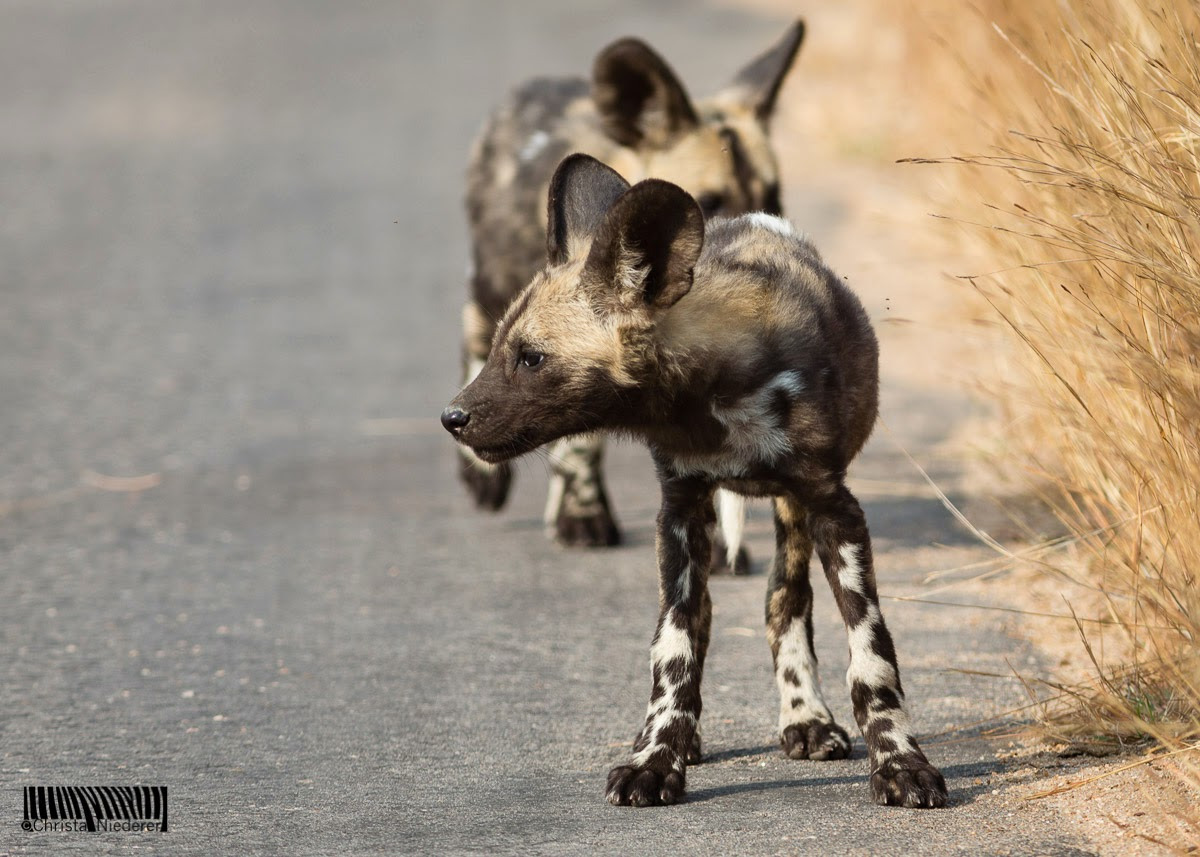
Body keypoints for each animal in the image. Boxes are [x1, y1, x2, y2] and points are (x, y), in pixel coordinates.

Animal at [441, 154, 945, 806]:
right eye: (503, 346)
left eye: (530, 358)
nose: (451, 417)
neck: (709, 398)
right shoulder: (678, 514)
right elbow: (674, 649)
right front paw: (656, 759)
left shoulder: (836, 509)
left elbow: (872, 656)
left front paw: (902, 764)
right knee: (701, 619)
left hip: (792, 512)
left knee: (784, 602)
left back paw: (806, 719)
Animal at [458, 20, 806, 566]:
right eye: (710, 202)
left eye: (773, 198)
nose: (757, 237)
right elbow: (578, 440)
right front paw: (583, 517)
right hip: (493, 289)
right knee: (474, 339)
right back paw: (488, 477)